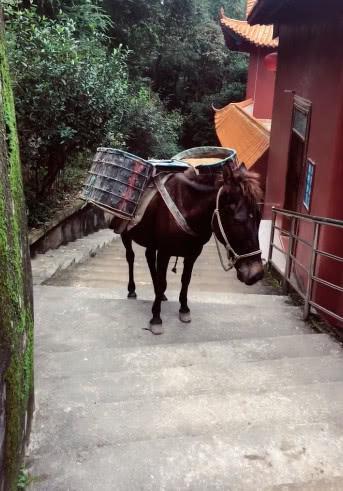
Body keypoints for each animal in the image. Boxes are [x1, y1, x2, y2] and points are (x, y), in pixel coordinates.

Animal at [120, 161, 264, 334]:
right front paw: (156, 318)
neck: (187, 207)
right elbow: (162, 282)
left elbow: (185, 280)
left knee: (148, 257)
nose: (256, 274)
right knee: (130, 257)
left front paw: (184, 309)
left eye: (259, 217)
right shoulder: (164, 252)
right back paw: (132, 290)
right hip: (125, 233)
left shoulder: (193, 253)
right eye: (238, 219)